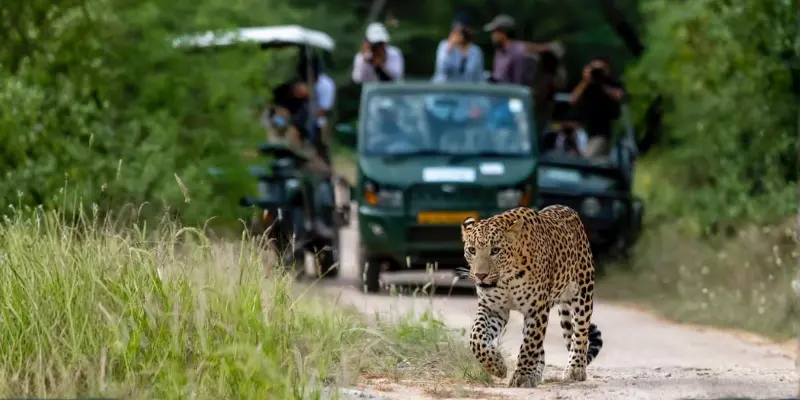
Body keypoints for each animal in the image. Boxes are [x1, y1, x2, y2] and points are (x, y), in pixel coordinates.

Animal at [456, 205, 603, 388]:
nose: (480, 275)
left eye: (495, 250)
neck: (507, 278)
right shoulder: (492, 308)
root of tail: (568, 209)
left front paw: (522, 375)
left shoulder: (537, 308)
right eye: (472, 250)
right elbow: (476, 337)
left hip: (583, 292)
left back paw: (575, 369)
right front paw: (496, 366)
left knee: (580, 333)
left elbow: (530, 343)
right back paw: (536, 372)